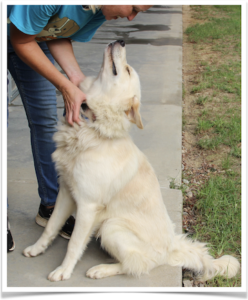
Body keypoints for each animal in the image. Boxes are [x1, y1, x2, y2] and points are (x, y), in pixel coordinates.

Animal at [23, 39, 240, 282]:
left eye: (127, 70)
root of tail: (173, 248)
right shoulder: (66, 192)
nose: (121, 41)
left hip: (111, 226)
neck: (94, 127)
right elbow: (51, 226)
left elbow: (75, 244)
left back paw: (101, 269)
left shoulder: (88, 205)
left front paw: (63, 271)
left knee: (138, 264)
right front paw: (37, 248)